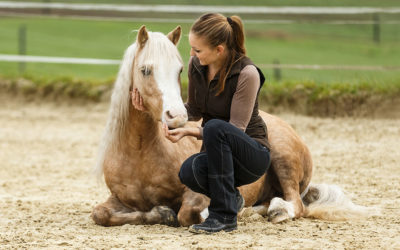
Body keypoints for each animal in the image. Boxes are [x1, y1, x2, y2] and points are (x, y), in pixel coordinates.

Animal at [91, 26, 378, 228]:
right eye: (145, 70)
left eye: (180, 70)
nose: (177, 116)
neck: (140, 152)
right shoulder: (117, 199)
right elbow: (100, 214)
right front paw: (160, 212)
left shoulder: (194, 194)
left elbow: (187, 213)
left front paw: (180, 212)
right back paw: (253, 209)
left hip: (284, 162)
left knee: (296, 204)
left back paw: (274, 211)